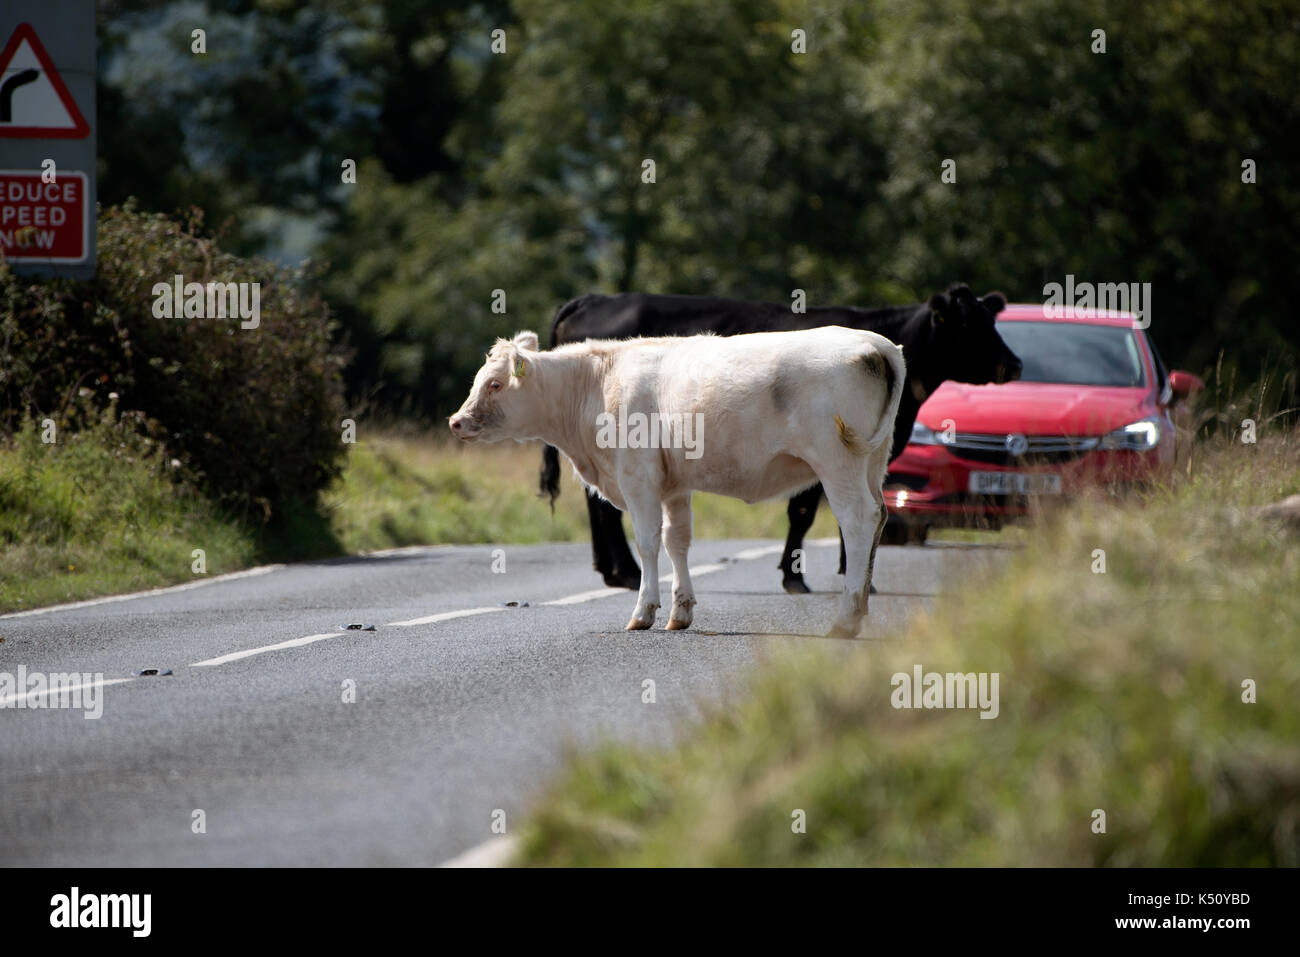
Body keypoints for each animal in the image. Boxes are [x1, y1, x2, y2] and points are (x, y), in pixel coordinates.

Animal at [452, 327, 909, 634]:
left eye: (495, 383)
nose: (456, 421)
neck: (598, 383)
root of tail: (877, 344)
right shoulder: (675, 485)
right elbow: (678, 542)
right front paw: (680, 611)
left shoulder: (637, 476)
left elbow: (649, 541)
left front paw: (643, 612)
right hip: (873, 460)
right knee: (879, 517)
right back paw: (861, 607)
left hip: (837, 461)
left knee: (857, 520)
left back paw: (847, 618)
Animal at [533, 283, 1019, 595]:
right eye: (968, 326)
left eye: (989, 319)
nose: (1013, 365)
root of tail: (596, 297)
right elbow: (803, 513)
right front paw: (798, 575)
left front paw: (854, 573)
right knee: (604, 505)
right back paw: (628, 572)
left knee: (596, 502)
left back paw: (611, 570)